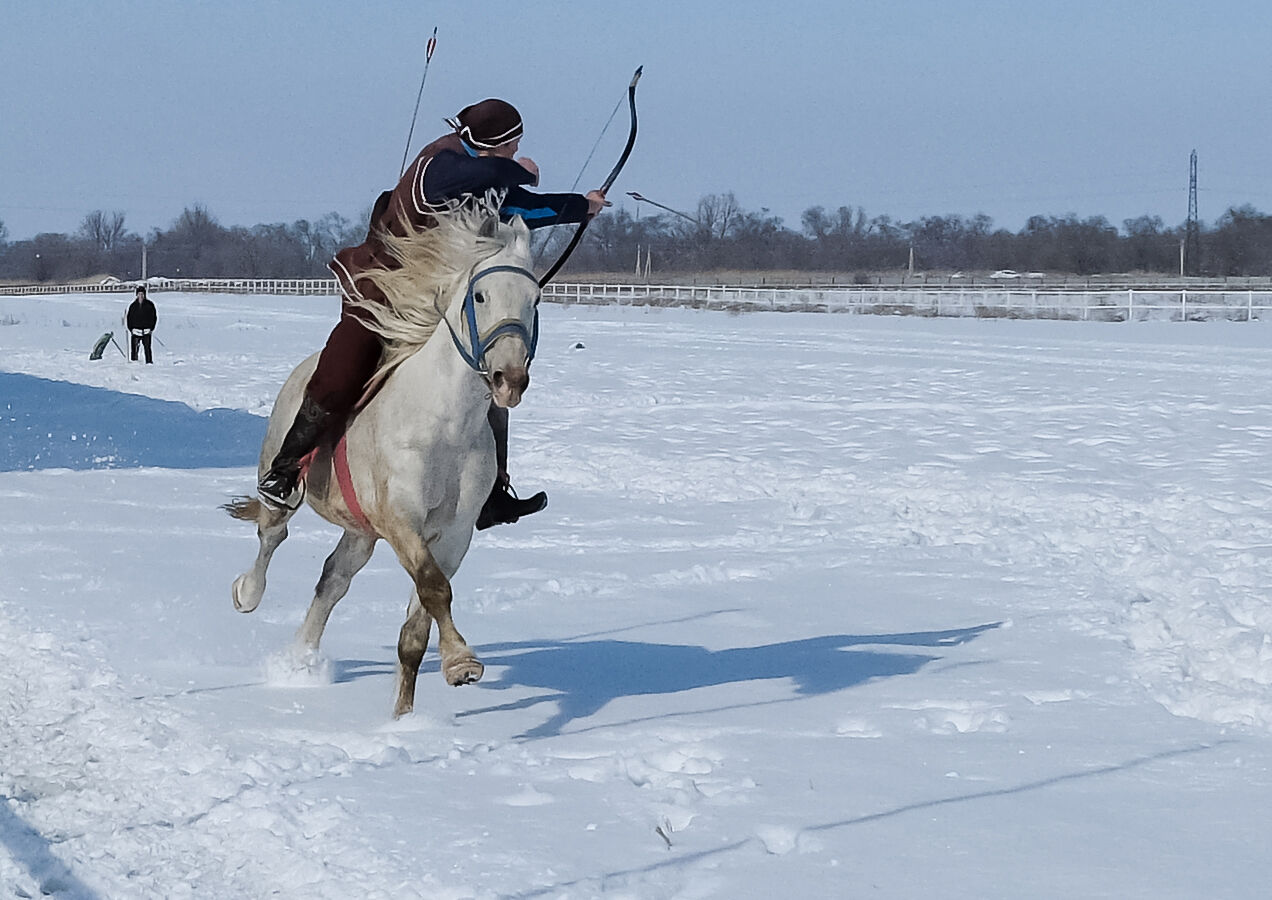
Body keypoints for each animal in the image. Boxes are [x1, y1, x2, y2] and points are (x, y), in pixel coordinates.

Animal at [225, 203, 541, 716]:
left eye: (535, 298)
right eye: (480, 295)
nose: (509, 379)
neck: (443, 423)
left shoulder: (453, 534)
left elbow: (417, 626)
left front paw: (403, 717)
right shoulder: (401, 520)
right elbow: (435, 588)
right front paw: (462, 662)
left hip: (361, 531)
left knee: (333, 579)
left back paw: (300, 662)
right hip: (285, 485)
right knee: (272, 536)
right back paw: (247, 595)